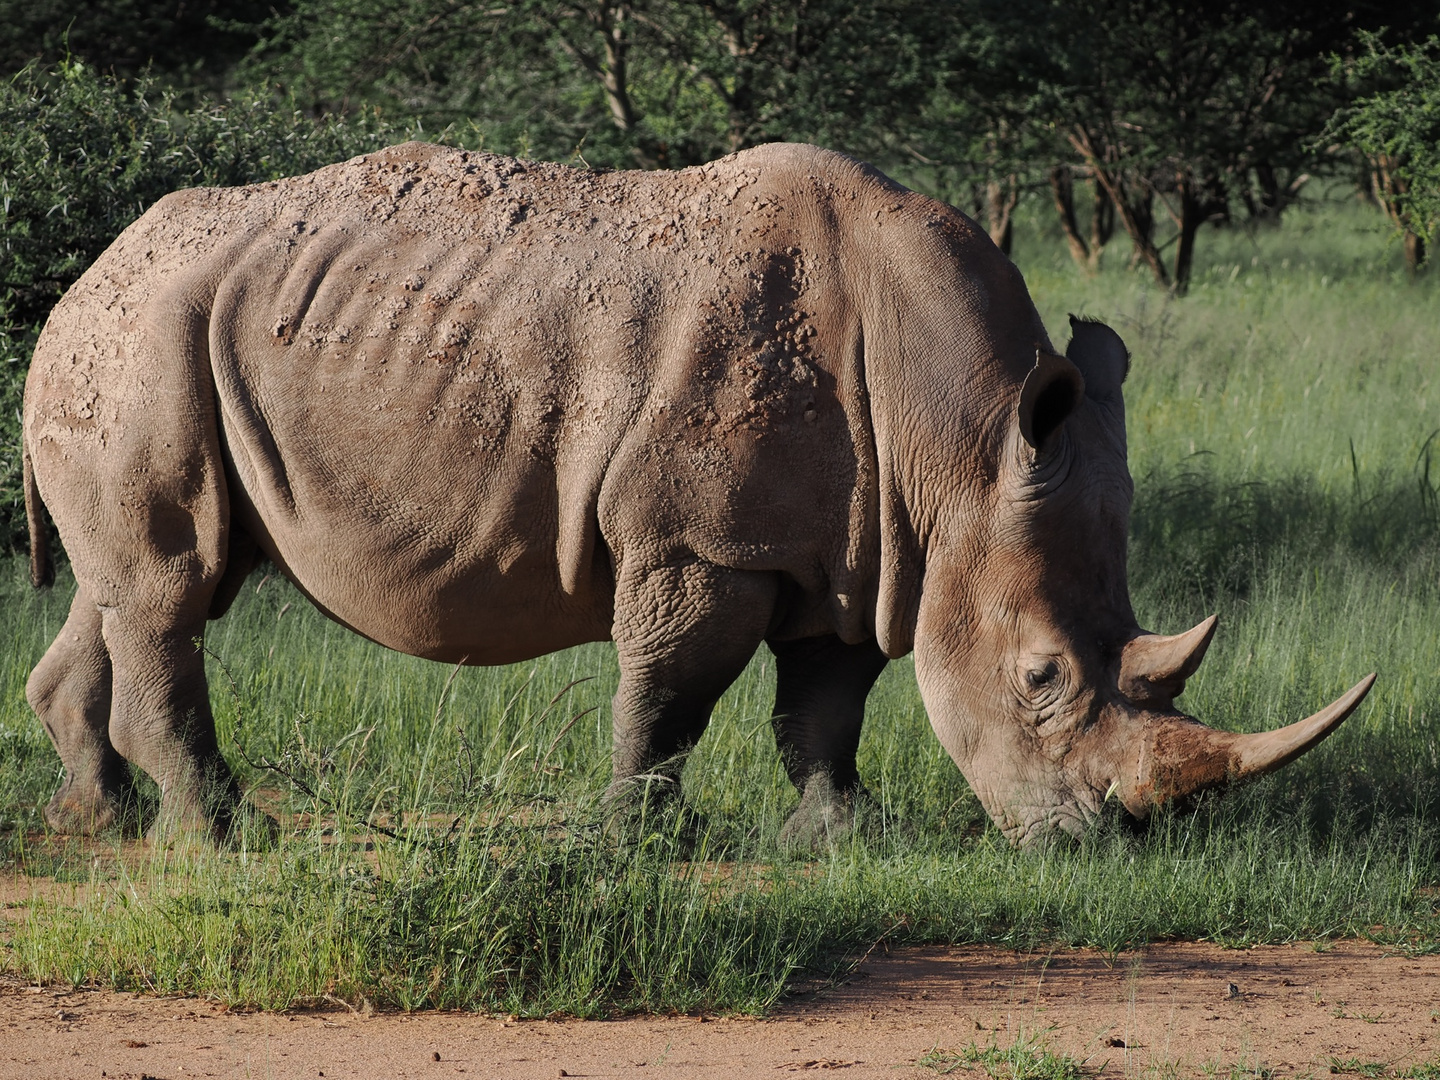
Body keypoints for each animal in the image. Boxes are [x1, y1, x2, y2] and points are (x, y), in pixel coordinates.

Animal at [22, 141, 1370, 846]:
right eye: (1040, 681)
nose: (1109, 841)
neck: (960, 442)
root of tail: (85, 276)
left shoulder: (866, 549)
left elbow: (825, 704)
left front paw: (843, 836)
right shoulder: (703, 541)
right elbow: (669, 694)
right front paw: (635, 839)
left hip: (149, 342)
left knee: (136, 584)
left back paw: (105, 821)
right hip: (145, 342)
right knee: (172, 587)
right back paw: (221, 834)